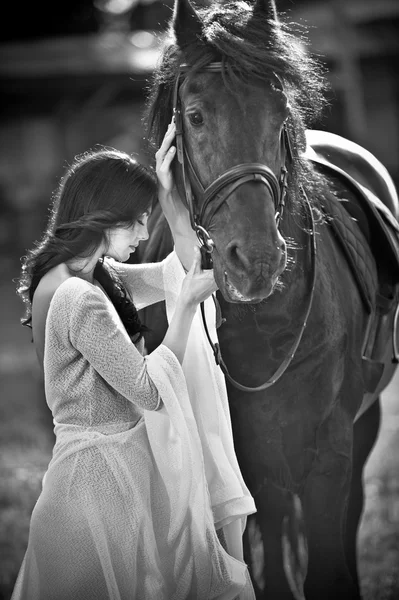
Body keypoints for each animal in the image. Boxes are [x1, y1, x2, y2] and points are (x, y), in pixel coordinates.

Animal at [134, 1, 399, 600]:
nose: (254, 260)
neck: (264, 326)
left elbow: (328, 566)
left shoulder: (331, 449)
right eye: (195, 116)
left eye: (279, 116)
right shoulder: (250, 456)